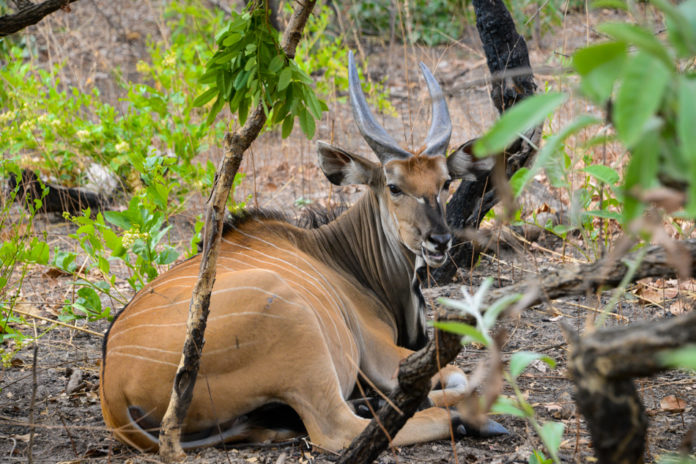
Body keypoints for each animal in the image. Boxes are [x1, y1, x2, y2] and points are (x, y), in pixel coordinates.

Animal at [99, 51, 500, 454]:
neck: (340, 257)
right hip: (301, 336)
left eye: (445, 182)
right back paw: (466, 420)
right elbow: (458, 376)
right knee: (337, 429)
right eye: (394, 186)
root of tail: (114, 394)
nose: (440, 240)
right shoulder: (383, 357)